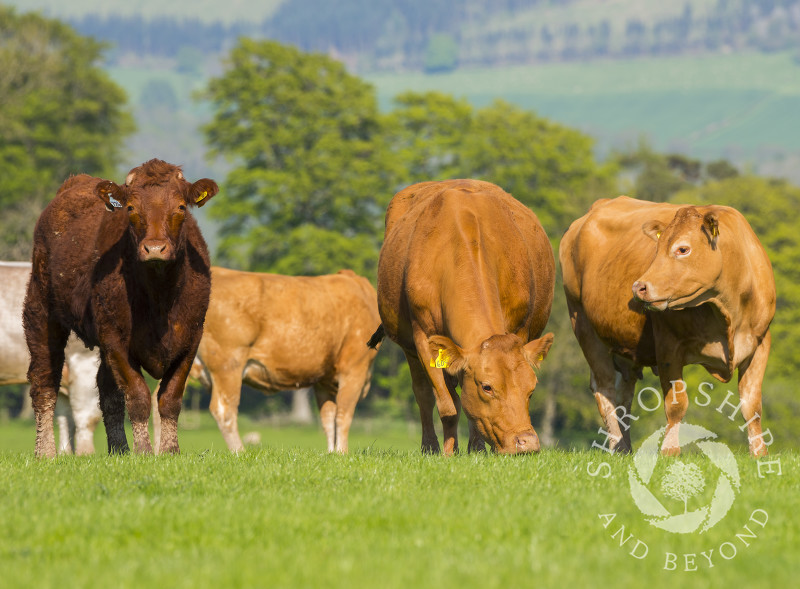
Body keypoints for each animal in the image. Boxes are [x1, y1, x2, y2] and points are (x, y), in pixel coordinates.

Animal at [25, 158, 219, 458]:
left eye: (181, 207)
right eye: (130, 208)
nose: (154, 248)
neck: (160, 297)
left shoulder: (191, 339)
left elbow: (170, 398)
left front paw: (169, 450)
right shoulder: (116, 340)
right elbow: (137, 396)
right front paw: (144, 451)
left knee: (107, 393)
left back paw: (119, 449)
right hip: (40, 311)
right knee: (44, 383)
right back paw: (45, 452)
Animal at [195, 268, 382, 452]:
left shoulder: (323, 379)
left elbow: (328, 418)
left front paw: (331, 453)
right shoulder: (355, 369)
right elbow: (343, 415)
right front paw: (342, 453)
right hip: (227, 364)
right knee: (224, 410)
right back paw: (239, 452)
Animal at [372, 179, 552, 454]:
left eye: (531, 388)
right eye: (487, 387)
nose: (527, 443)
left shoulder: (520, 329)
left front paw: (476, 449)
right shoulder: (423, 337)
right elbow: (447, 406)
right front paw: (447, 452)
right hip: (409, 347)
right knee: (424, 395)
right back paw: (430, 446)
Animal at [556, 195, 776, 458]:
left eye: (683, 249)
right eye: (657, 248)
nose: (638, 287)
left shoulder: (760, 343)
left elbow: (752, 405)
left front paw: (759, 453)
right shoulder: (668, 345)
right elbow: (676, 404)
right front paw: (670, 450)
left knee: (624, 394)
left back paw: (625, 449)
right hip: (583, 325)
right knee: (605, 389)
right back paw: (617, 445)